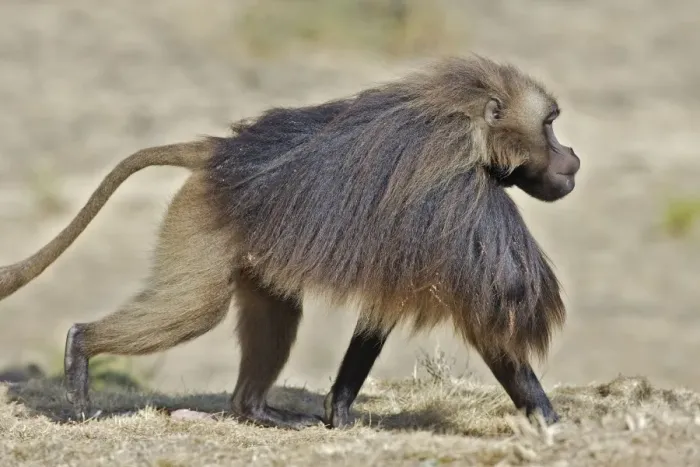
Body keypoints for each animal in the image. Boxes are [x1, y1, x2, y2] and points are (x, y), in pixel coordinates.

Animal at [0, 55, 580, 429]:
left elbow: (381, 313)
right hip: (202, 219)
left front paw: (338, 411)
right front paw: (550, 420)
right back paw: (80, 352)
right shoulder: (462, 204)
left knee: (275, 309)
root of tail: (221, 152)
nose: (572, 158)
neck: (469, 127)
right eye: (550, 124)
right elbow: (492, 317)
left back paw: (257, 410)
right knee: (195, 309)